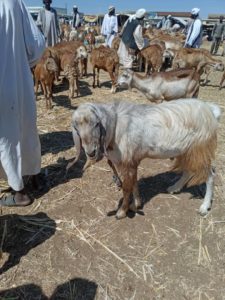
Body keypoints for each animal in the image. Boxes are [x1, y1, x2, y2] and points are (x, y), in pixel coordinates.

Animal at [68, 99, 220, 219]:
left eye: (97, 124)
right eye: (76, 127)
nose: (91, 152)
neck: (115, 126)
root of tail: (211, 110)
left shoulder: (128, 161)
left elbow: (127, 187)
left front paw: (122, 212)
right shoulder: (132, 160)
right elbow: (134, 182)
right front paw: (136, 204)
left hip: (199, 148)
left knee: (210, 175)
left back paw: (204, 207)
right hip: (186, 150)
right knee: (189, 170)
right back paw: (174, 188)